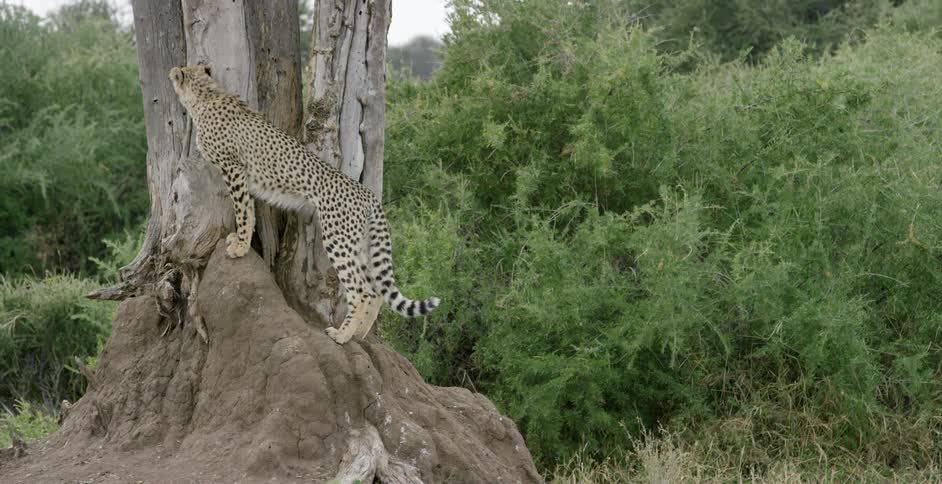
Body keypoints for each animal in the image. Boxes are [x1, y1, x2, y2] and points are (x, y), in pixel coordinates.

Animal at [169, 64, 440, 344]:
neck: (206, 95)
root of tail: (368, 193)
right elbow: (249, 209)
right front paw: (240, 241)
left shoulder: (234, 169)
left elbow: (243, 210)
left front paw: (240, 246)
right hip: (360, 244)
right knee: (375, 291)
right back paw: (359, 334)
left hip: (338, 240)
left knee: (361, 290)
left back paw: (342, 335)